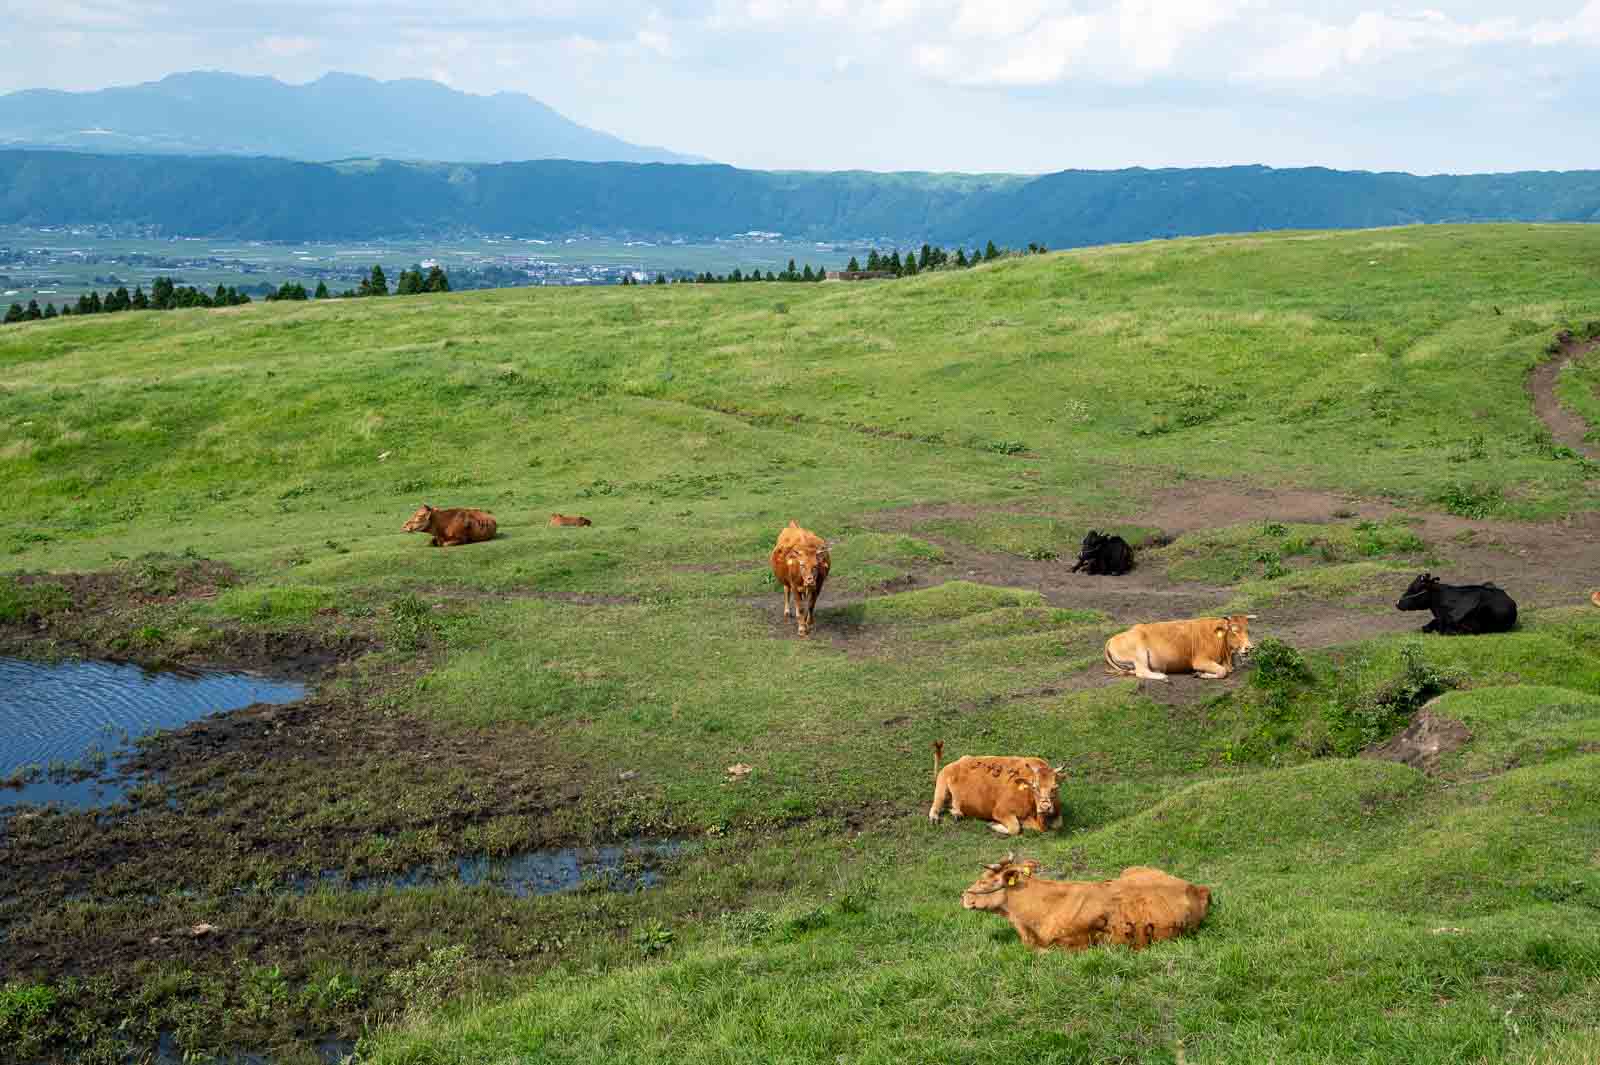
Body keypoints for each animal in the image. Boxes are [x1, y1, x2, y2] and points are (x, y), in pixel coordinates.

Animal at [928, 741, 1065, 836]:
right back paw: (935, 817)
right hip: (941, 785)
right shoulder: (1000, 811)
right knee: (936, 803)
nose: (1045, 807)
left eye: (1055, 787)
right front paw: (993, 825)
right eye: (1034, 787)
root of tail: (956, 762)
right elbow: (1015, 828)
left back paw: (957, 813)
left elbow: (1058, 824)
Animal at [1104, 615, 1255, 681]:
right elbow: (1222, 671)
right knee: (1141, 671)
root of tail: (1112, 638)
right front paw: (1200, 674)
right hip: (1139, 654)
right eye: (1234, 631)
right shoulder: (1200, 661)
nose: (1249, 648)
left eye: (1248, 630)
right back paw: (1162, 676)